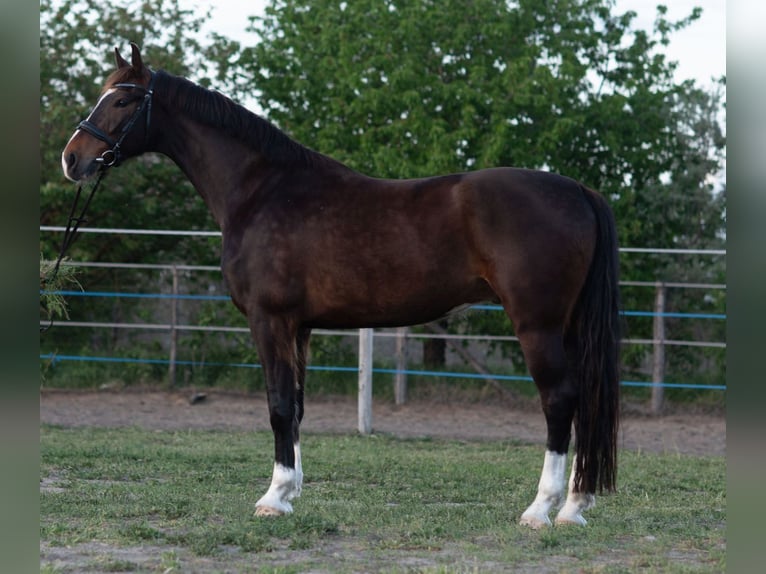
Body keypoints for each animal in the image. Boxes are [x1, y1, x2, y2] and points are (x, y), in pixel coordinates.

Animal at [62, 43, 620, 527]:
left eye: (123, 99)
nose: (72, 158)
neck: (263, 191)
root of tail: (578, 190)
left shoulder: (269, 320)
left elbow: (278, 406)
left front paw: (271, 499)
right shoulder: (300, 327)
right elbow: (297, 406)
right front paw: (289, 493)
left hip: (537, 325)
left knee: (560, 401)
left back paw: (541, 509)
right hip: (568, 326)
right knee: (586, 402)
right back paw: (575, 506)